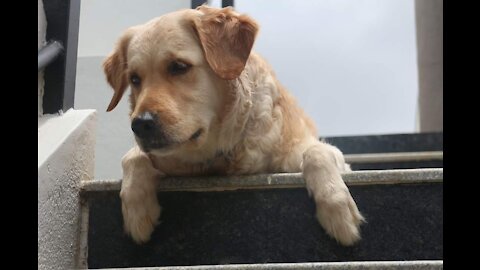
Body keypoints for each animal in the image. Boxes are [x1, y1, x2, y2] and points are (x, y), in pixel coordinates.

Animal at [102, 5, 364, 247]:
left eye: (178, 66)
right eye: (135, 79)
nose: (141, 124)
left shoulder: (325, 156)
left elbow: (316, 153)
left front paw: (337, 209)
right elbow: (132, 157)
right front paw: (137, 211)